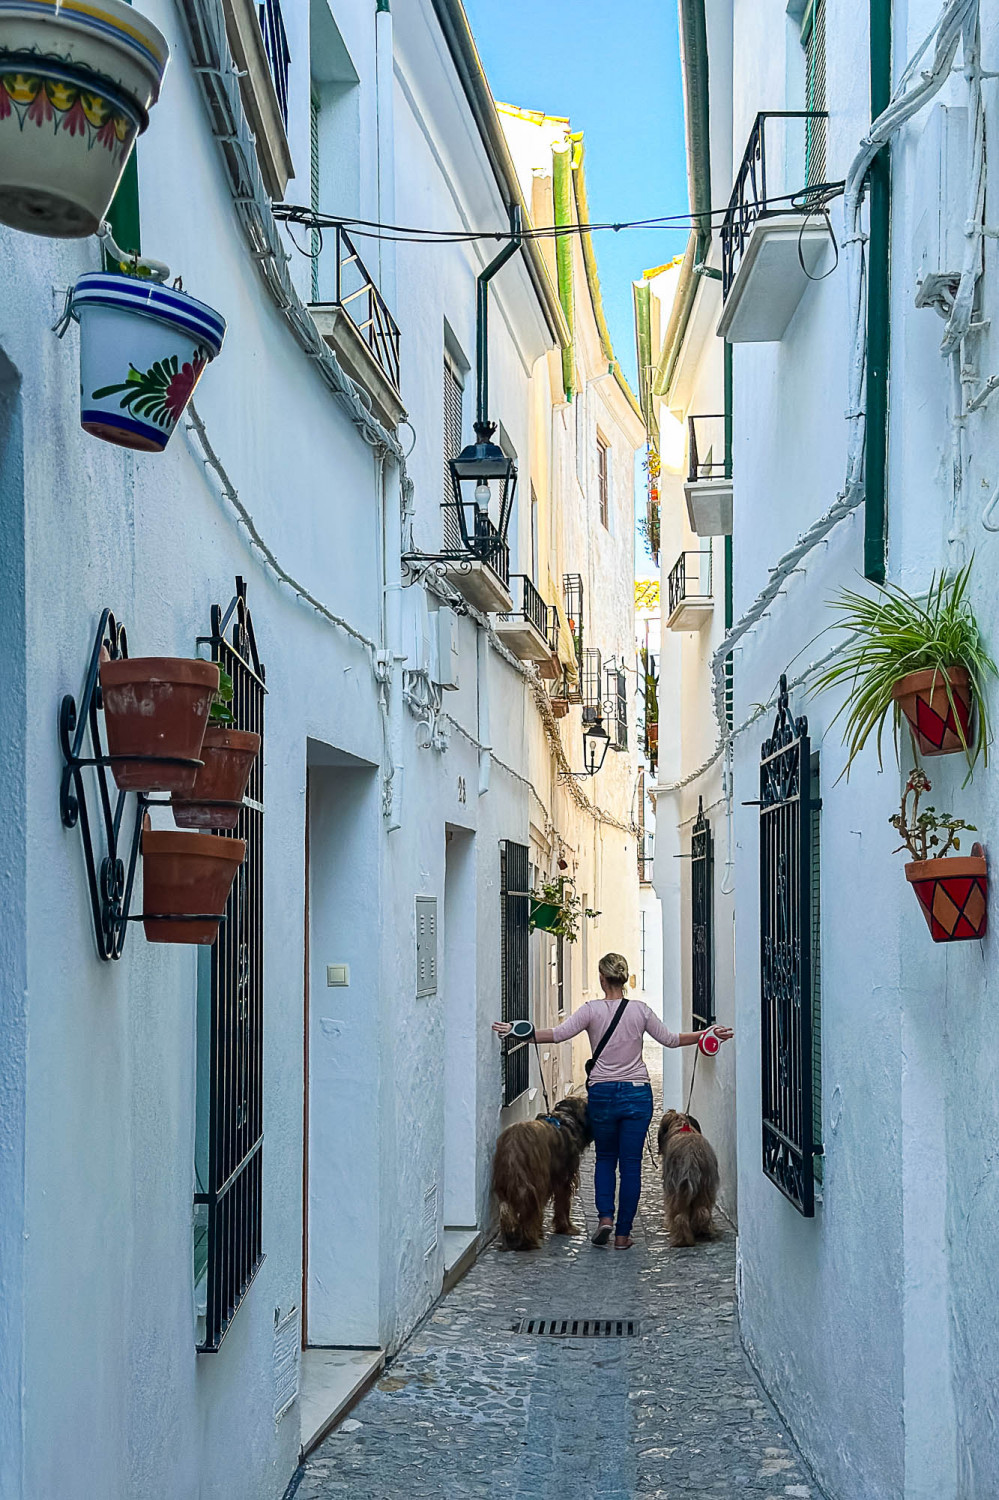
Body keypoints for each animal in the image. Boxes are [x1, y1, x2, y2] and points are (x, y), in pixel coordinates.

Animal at [491, 1094, 592, 1250]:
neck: (567, 1118)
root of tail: (513, 1145)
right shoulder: (563, 1179)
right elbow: (563, 1205)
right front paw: (566, 1228)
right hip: (537, 1179)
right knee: (530, 1210)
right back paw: (531, 1240)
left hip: (506, 1182)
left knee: (507, 1210)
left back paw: (511, 1239)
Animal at [657, 1109, 720, 1247]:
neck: (682, 1126)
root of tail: (692, 1157)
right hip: (704, 1186)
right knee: (702, 1211)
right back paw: (701, 1231)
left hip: (677, 1190)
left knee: (680, 1216)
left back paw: (682, 1240)